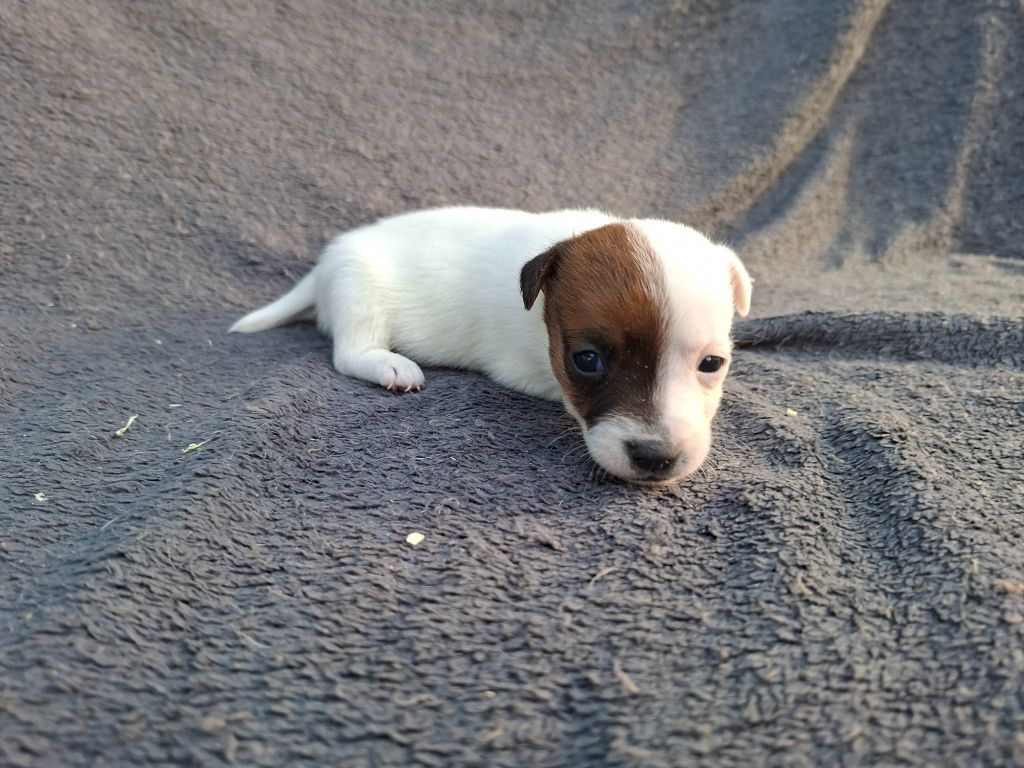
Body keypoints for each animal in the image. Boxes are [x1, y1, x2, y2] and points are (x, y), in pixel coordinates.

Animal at [230, 206, 751, 484]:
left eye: (712, 363)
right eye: (586, 360)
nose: (655, 458)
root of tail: (322, 268)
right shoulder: (520, 369)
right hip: (359, 295)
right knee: (349, 353)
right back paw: (391, 367)